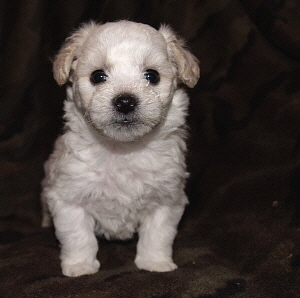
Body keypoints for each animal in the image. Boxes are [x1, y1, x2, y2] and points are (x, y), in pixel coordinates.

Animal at [40, 20, 199, 278]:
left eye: (152, 76)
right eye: (98, 76)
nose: (125, 101)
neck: (122, 149)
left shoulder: (166, 198)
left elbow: (158, 234)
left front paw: (155, 263)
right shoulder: (69, 197)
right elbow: (78, 236)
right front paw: (80, 266)